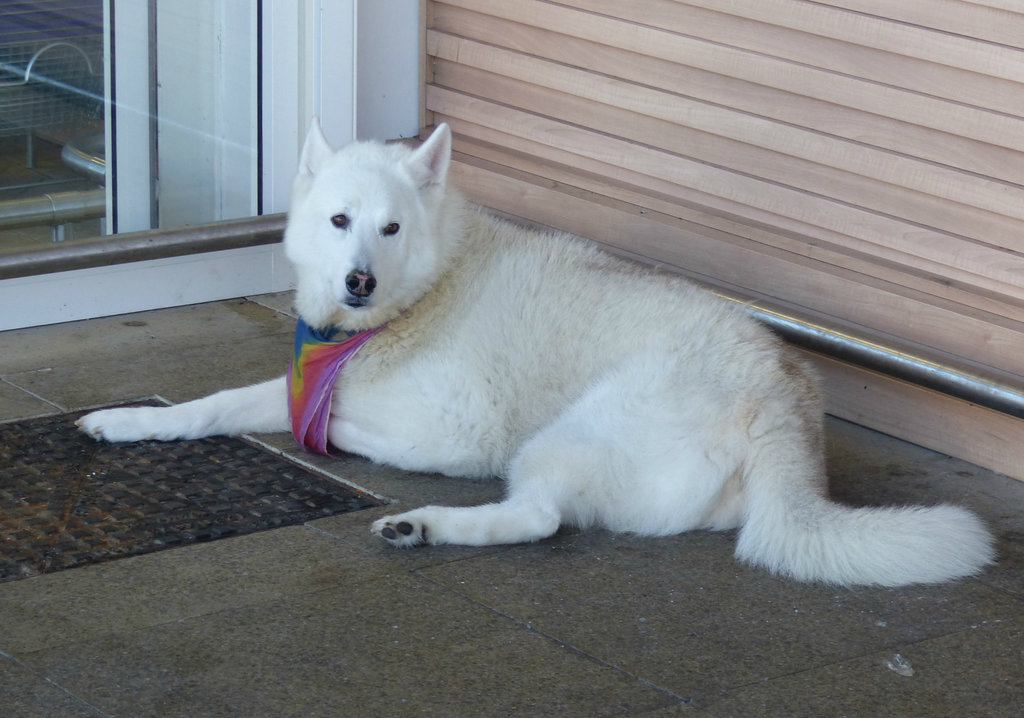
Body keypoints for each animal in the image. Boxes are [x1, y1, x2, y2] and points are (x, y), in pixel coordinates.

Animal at [79, 121, 991, 581]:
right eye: (339, 220)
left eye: (391, 228)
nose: (359, 282)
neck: (426, 290)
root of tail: (783, 394)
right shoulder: (301, 384)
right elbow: (214, 407)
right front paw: (127, 422)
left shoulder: (450, 427)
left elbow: (339, 427)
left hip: (566, 436)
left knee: (537, 516)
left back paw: (420, 525)